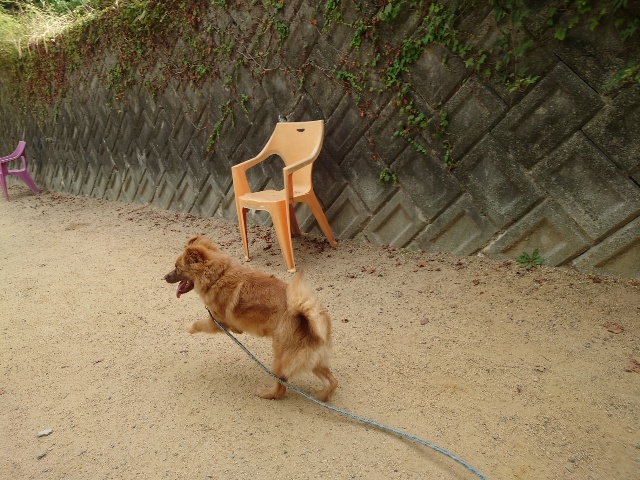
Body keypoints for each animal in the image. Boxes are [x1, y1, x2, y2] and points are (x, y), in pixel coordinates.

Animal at [164, 235, 337, 401]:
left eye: (177, 268)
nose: (164, 277)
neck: (219, 275)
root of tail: (309, 320)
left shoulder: (216, 322)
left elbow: (199, 324)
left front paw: (189, 327)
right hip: (313, 361)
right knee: (332, 381)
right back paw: (321, 397)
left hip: (280, 358)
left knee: (281, 388)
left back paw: (267, 394)